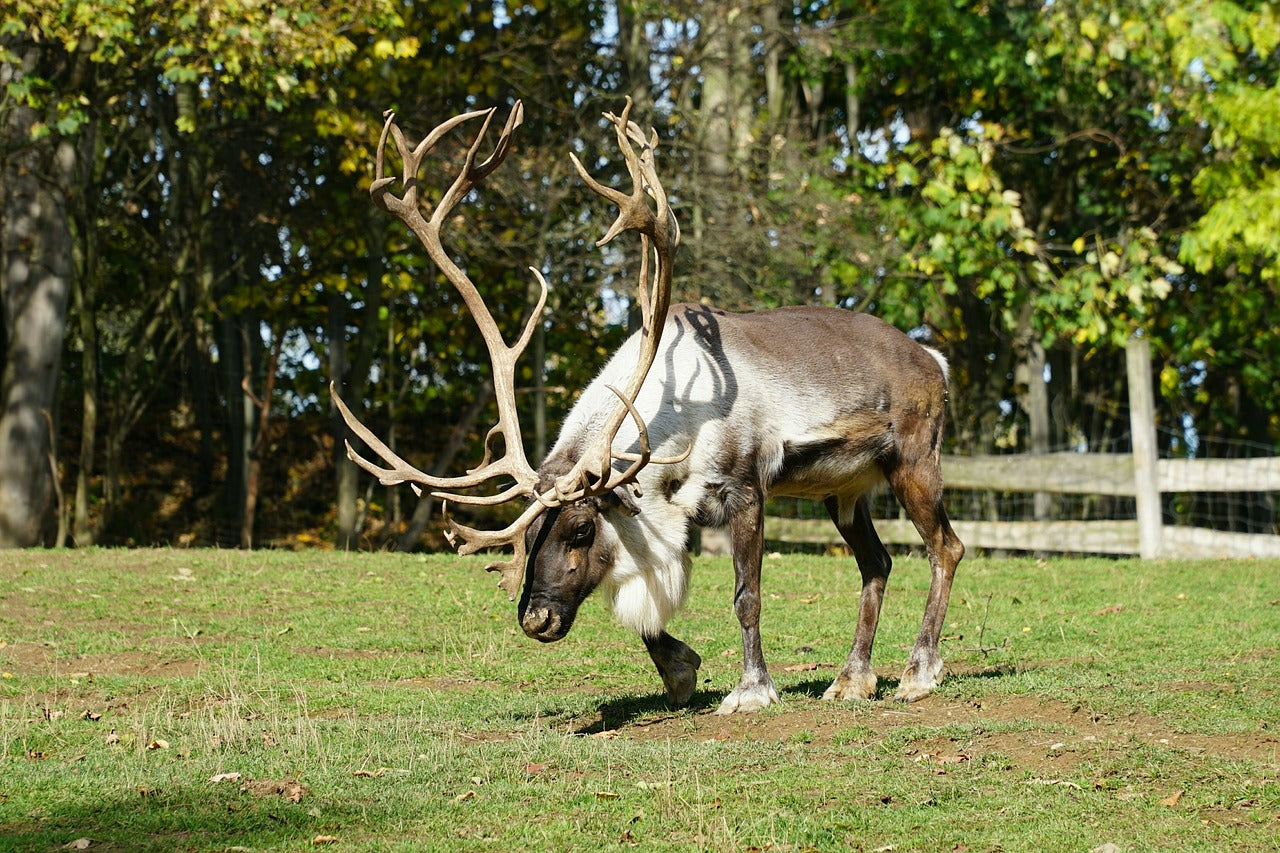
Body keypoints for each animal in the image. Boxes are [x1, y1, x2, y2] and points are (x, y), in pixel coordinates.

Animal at [332, 99, 965, 715]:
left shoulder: (745, 491)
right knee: (876, 564)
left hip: (913, 461)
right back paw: (852, 680)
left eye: (580, 529)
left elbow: (747, 595)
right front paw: (680, 670)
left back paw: (918, 673)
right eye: (529, 535)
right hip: (844, 490)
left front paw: (752, 689)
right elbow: (644, 608)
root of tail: (934, 358)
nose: (536, 619)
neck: (672, 420)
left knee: (946, 548)